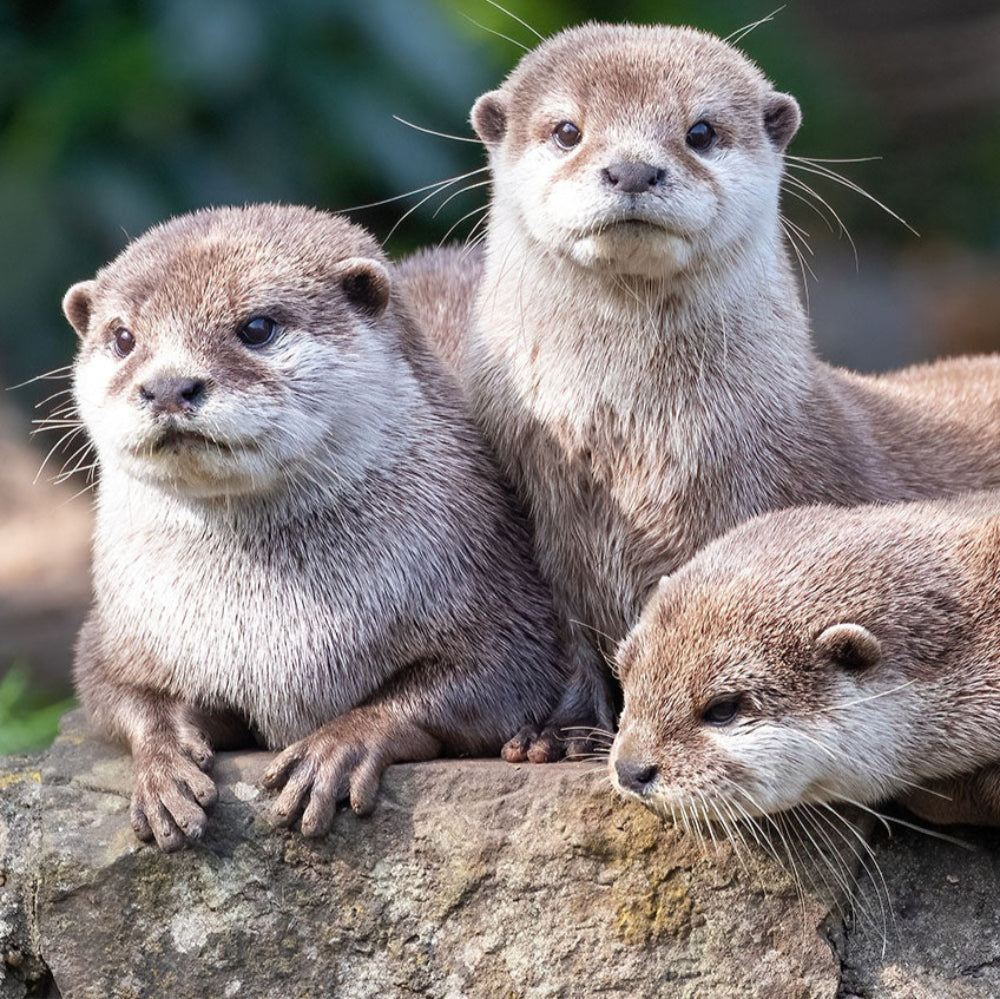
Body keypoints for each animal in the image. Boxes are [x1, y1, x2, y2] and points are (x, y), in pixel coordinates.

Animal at [64, 204, 566, 851]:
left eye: (256, 327)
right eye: (123, 337)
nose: (168, 385)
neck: (271, 629)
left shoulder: (497, 590)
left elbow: (497, 675)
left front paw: (340, 744)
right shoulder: (120, 627)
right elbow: (116, 693)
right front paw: (162, 766)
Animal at [399, 23, 1000, 759]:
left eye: (702, 130)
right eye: (567, 130)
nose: (632, 169)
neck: (636, 453)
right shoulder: (544, 525)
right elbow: (568, 638)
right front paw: (558, 733)